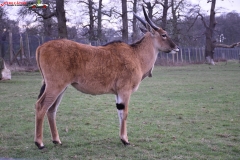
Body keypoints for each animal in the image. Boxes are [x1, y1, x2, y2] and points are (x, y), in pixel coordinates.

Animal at [34, 5, 179, 149]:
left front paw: (122, 138)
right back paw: (39, 143)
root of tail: (41, 47)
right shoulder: (125, 91)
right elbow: (124, 113)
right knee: (41, 106)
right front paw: (125, 140)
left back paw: (56, 140)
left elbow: (120, 112)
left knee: (51, 109)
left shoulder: (118, 93)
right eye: (164, 34)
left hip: (60, 87)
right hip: (55, 86)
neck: (136, 55)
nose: (176, 47)